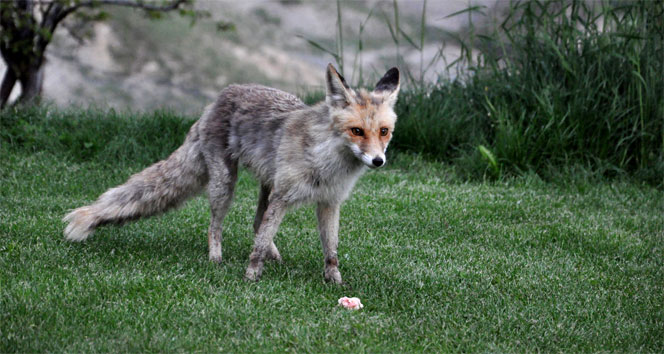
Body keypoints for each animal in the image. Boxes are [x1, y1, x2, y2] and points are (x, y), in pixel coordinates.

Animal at [63, 63, 400, 282]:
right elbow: (260, 242)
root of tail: (218, 99)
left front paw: (335, 281)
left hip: (265, 183)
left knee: (256, 221)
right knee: (216, 225)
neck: (326, 162)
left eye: (383, 132)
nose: (378, 161)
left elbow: (330, 249)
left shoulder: (329, 202)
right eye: (357, 131)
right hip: (225, 184)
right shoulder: (284, 196)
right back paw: (216, 258)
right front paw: (251, 276)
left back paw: (275, 257)